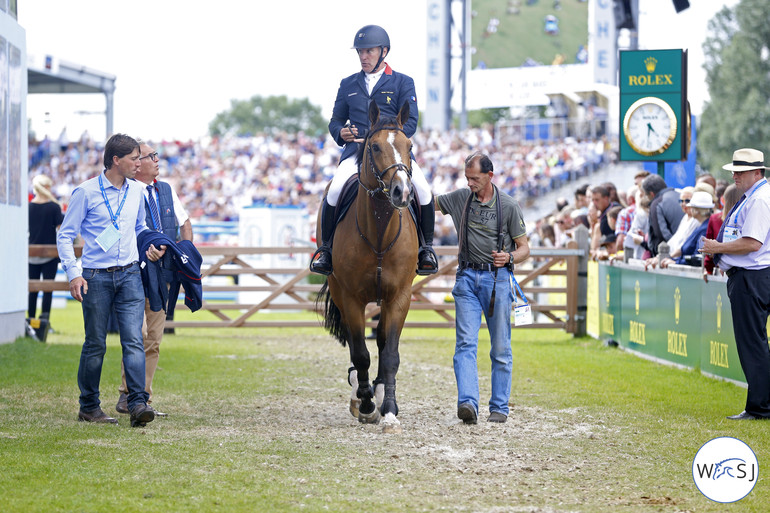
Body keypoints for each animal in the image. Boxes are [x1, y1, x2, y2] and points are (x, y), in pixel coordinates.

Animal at [316, 100, 416, 432]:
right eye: (373, 146)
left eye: (409, 146)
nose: (402, 192)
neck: (380, 231)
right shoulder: (350, 297)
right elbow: (360, 353)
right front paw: (367, 403)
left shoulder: (400, 296)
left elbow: (390, 353)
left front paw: (389, 408)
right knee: (356, 344)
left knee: (383, 341)